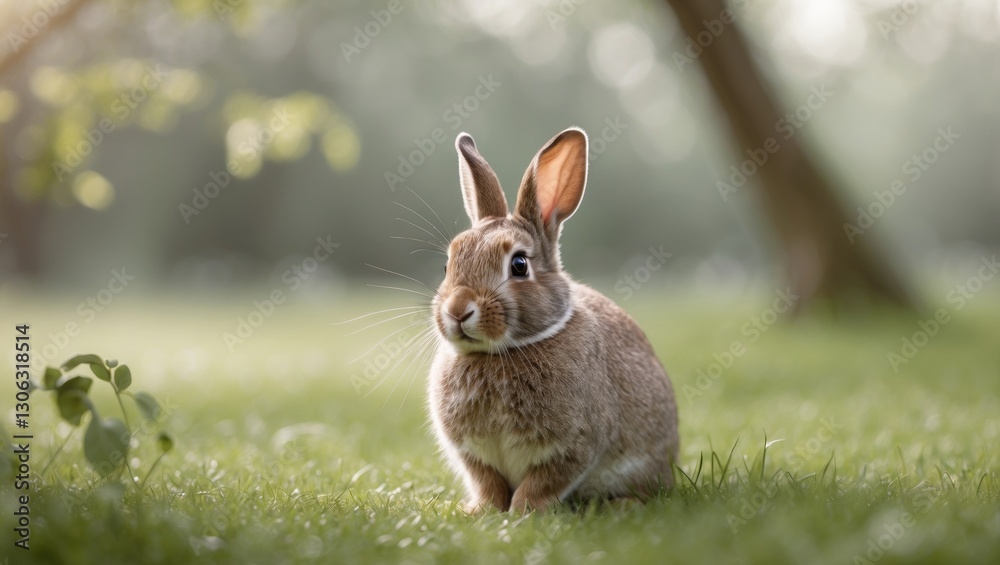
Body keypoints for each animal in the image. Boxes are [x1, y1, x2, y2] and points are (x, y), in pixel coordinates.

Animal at [427, 127, 679, 513]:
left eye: (519, 265)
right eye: (447, 265)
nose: (457, 310)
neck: (501, 352)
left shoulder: (572, 448)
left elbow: (543, 483)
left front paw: (522, 513)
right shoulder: (476, 457)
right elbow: (488, 484)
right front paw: (480, 511)